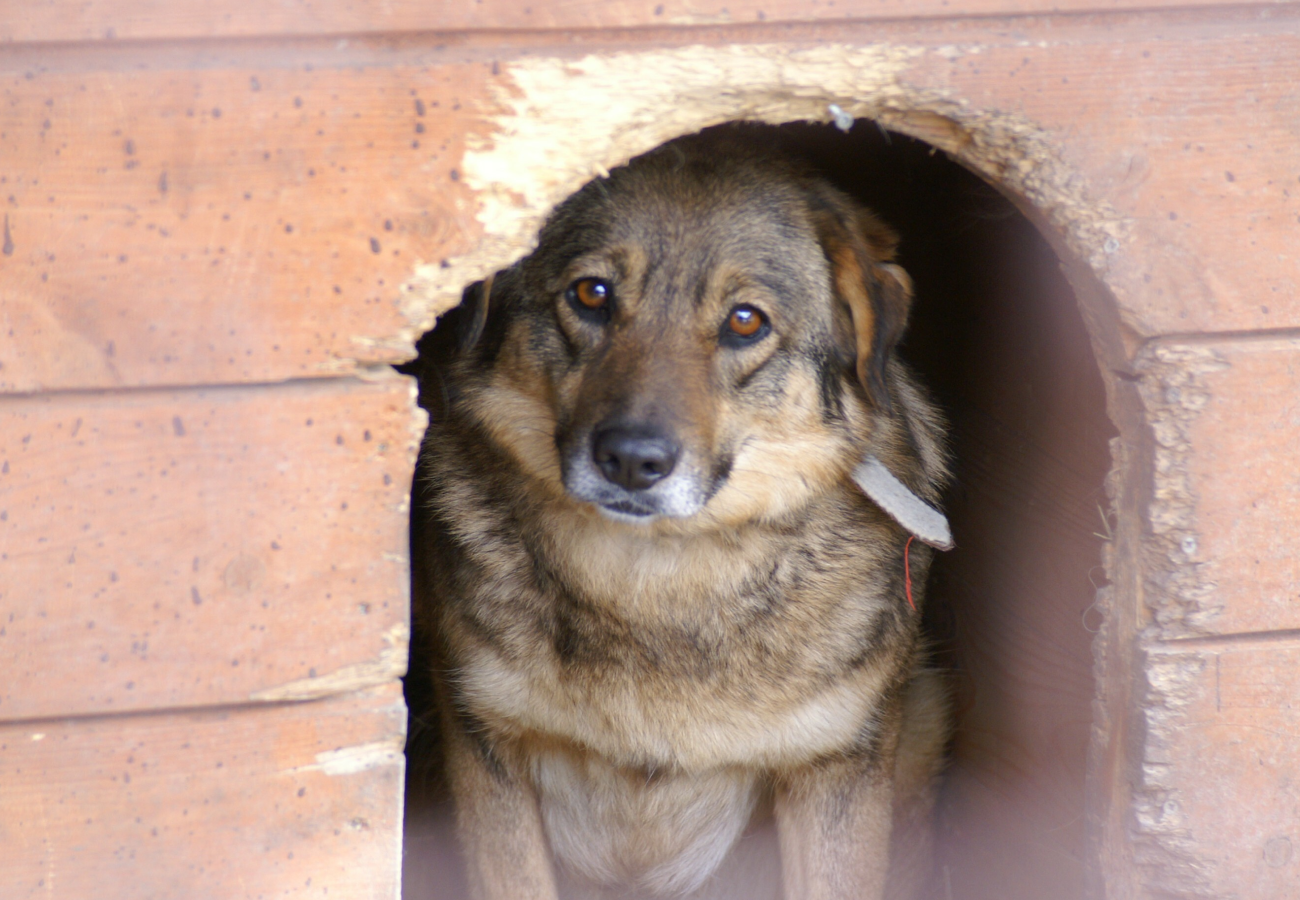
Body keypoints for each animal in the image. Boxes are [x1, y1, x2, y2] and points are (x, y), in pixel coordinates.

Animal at [410, 128, 951, 900]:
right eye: (592, 294)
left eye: (745, 321)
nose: (631, 460)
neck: (657, 583)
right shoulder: (485, 745)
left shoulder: (839, 765)